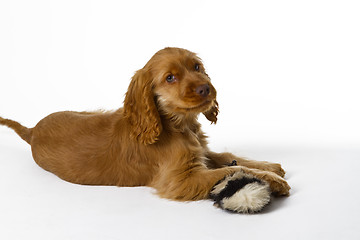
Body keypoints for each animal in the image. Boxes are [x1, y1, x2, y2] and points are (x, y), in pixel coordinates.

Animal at [0, 47, 290, 213]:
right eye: (170, 78)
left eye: (197, 67)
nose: (205, 88)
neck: (177, 125)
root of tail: (32, 131)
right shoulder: (180, 180)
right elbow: (227, 170)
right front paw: (273, 180)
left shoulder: (201, 152)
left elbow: (230, 157)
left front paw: (268, 167)